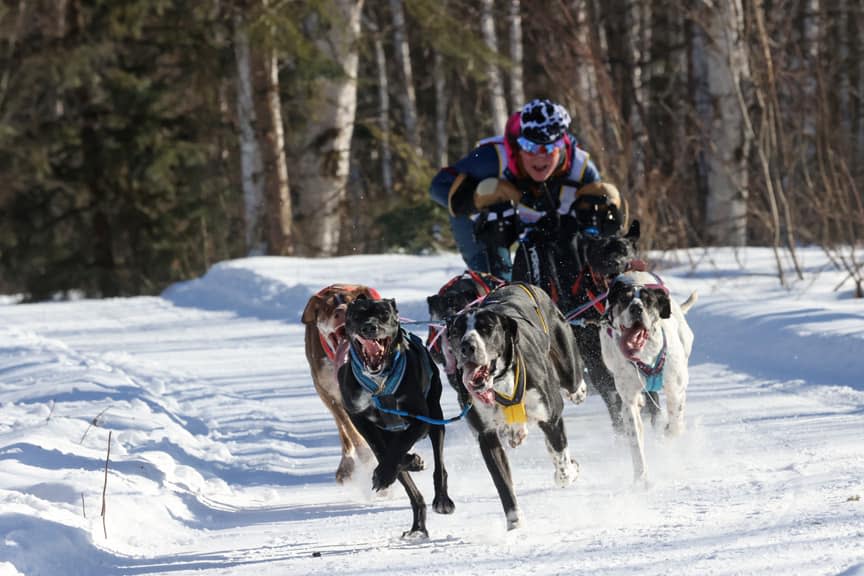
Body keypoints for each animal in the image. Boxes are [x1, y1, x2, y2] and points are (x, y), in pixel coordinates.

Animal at [302, 284, 383, 484]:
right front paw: (366, 455)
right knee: (344, 430)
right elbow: (349, 428)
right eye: (328, 307)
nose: (342, 311)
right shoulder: (329, 393)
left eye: (352, 302)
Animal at [339, 297, 454, 538]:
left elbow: (401, 445)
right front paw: (407, 463)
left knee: (439, 467)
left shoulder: (420, 419)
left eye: (384, 314)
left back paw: (441, 499)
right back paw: (417, 525)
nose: (369, 327)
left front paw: (390, 470)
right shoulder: (358, 416)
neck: (380, 382)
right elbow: (383, 451)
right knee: (410, 488)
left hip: (436, 419)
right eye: (357, 314)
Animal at [446, 282, 586, 530]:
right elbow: (502, 483)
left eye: (486, 328)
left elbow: (562, 464)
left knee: (573, 382)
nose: (466, 346)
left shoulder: (551, 417)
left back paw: (579, 391)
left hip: (568, 367)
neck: (500, 382)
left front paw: (569, 470)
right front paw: (515, 521)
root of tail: (521, 284)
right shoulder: (487, 436)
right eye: (456, 331)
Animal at [599, 270, 697, 482]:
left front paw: (669, 433)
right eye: (624, 299)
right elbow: (635, 441)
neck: (645, 354)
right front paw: (641, 478)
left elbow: (675, 423)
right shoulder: (628, 401)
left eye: (648, 300)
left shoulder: (675, 389)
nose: (636, 307)